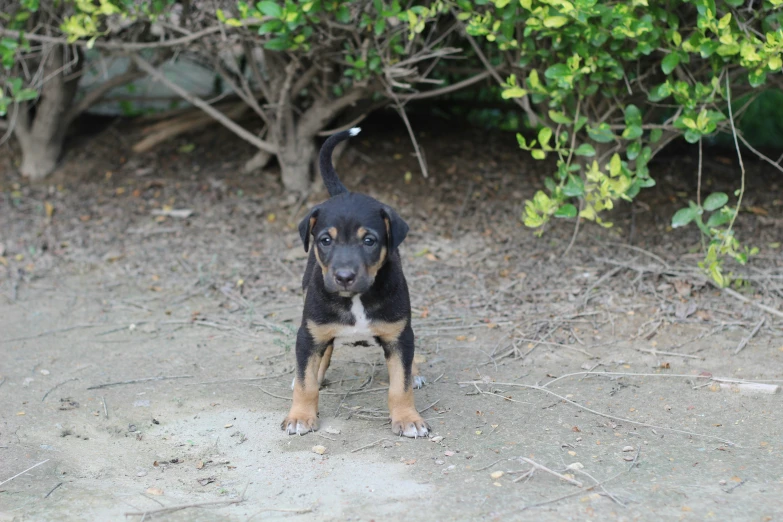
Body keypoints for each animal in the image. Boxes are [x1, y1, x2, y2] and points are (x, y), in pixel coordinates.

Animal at [282, 128, 428, 436]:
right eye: (325, 240)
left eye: (369, 240)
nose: (344, 277)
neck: (356, 300)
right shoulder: (308, 333)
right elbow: (305, 383)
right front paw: (300, 416)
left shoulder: (399, 336)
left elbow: (401, 385)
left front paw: (408, 418)